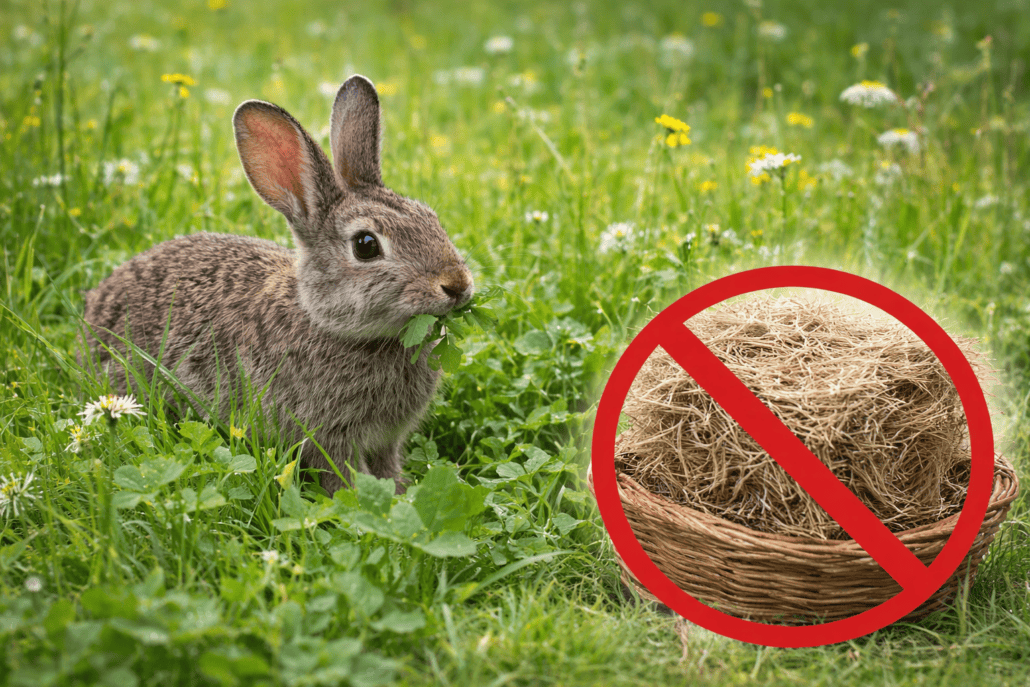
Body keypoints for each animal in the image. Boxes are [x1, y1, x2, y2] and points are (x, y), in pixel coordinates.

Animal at [82, 75, 474, 495]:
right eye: (366, 245)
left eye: (431, 218)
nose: (457, 285)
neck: (323, 321)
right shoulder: (326, 435)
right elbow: (344, 477)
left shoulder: (386, 439)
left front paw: (401, 490)